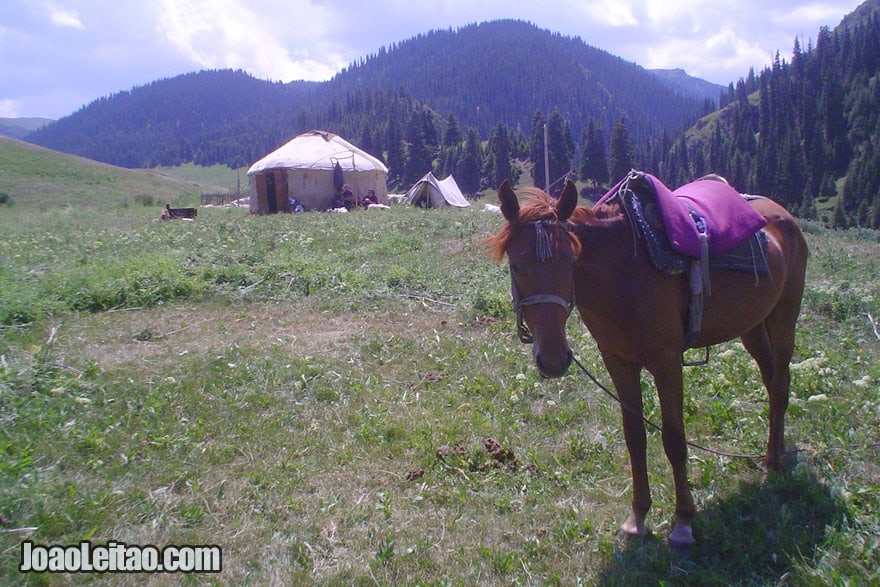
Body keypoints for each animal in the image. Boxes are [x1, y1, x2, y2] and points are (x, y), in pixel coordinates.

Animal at [488, 177, 812, 548]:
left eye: (570, 262)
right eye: (516, 266)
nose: (554, 359)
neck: (623, 274)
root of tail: (781, 214)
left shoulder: (666, 362)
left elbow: (674, 440)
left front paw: (683, 521)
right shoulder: (618, 362)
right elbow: (634, 437)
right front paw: (637, 518)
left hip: (785, 316)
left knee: (780, 386)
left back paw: (774, 462)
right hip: (753, 327)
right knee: (771, 380)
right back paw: (775, 453)